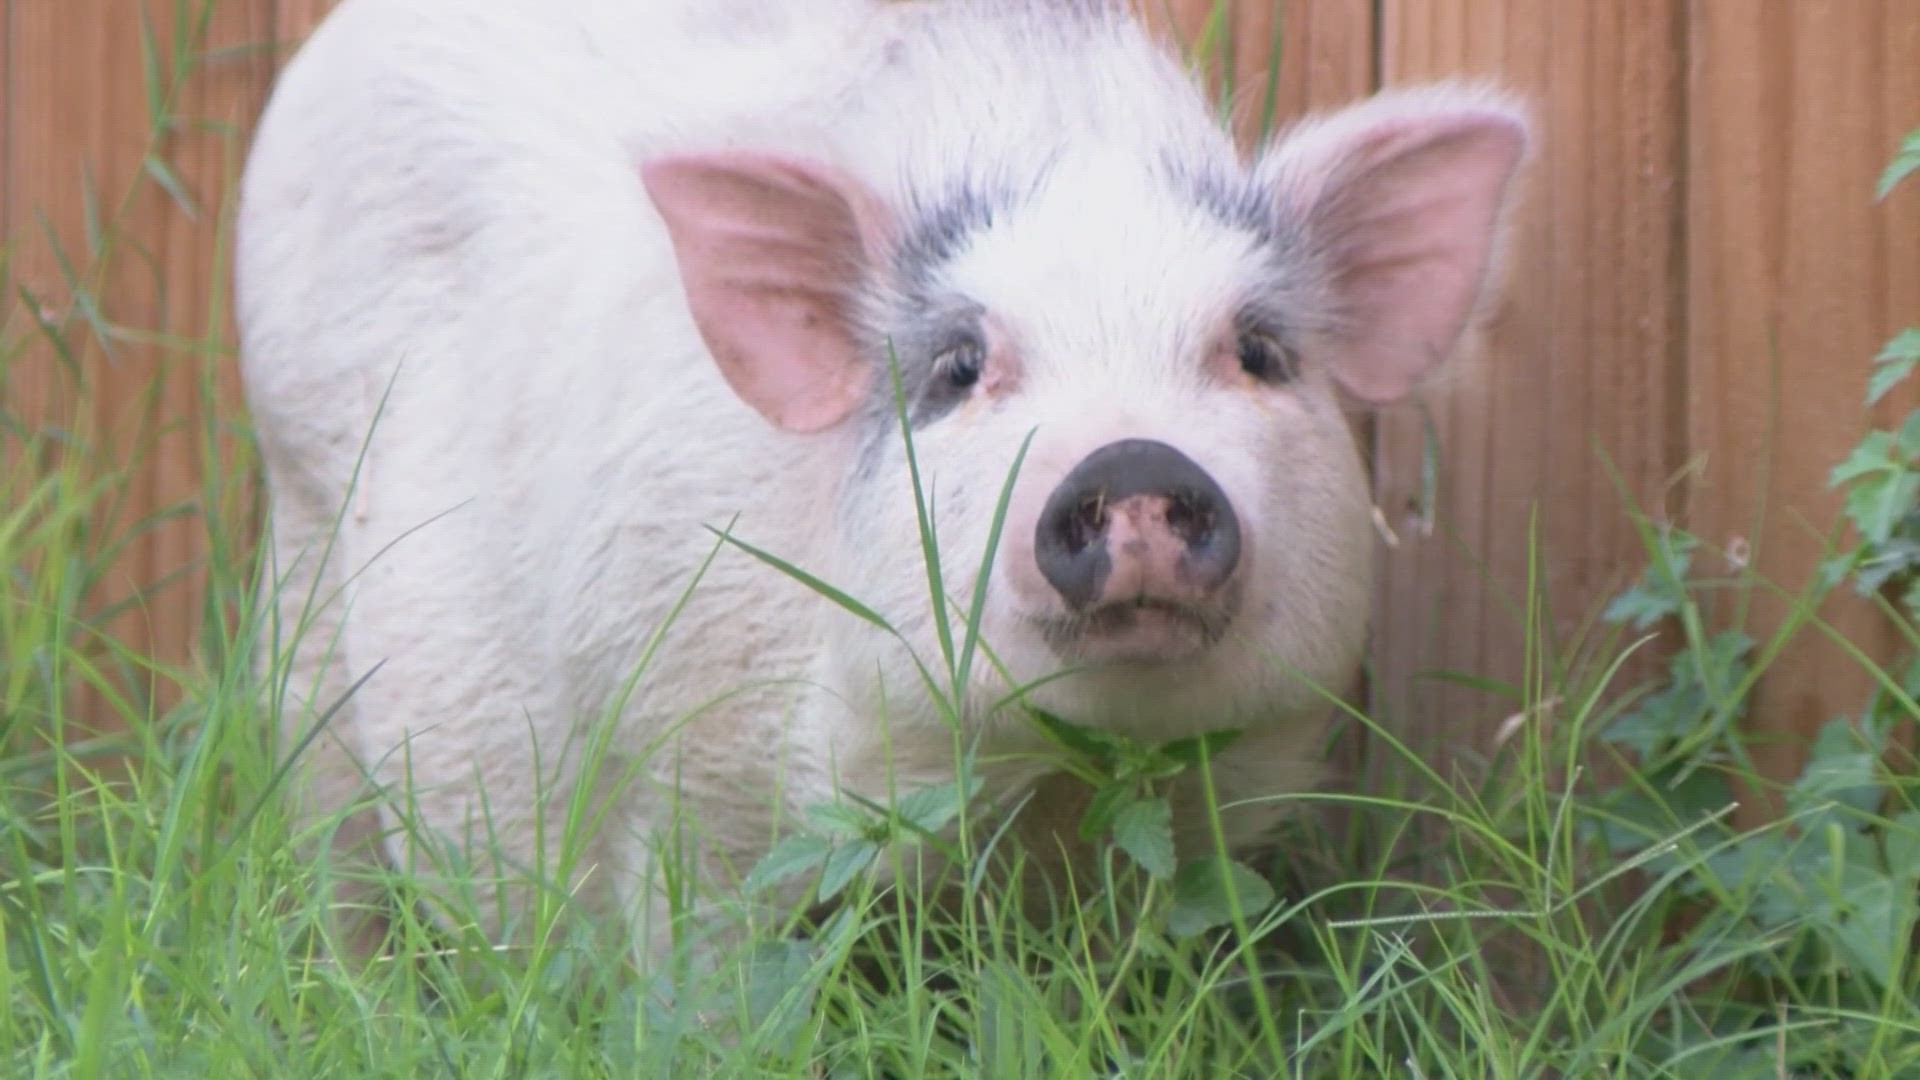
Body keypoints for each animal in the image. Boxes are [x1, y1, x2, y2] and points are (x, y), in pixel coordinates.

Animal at [236, 0, 1528, 968]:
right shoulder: (675, 762)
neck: (1040, 787)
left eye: (1257, 353)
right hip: (301, 535)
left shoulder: (1223, 795)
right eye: (959, 368)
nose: (1134, 457)